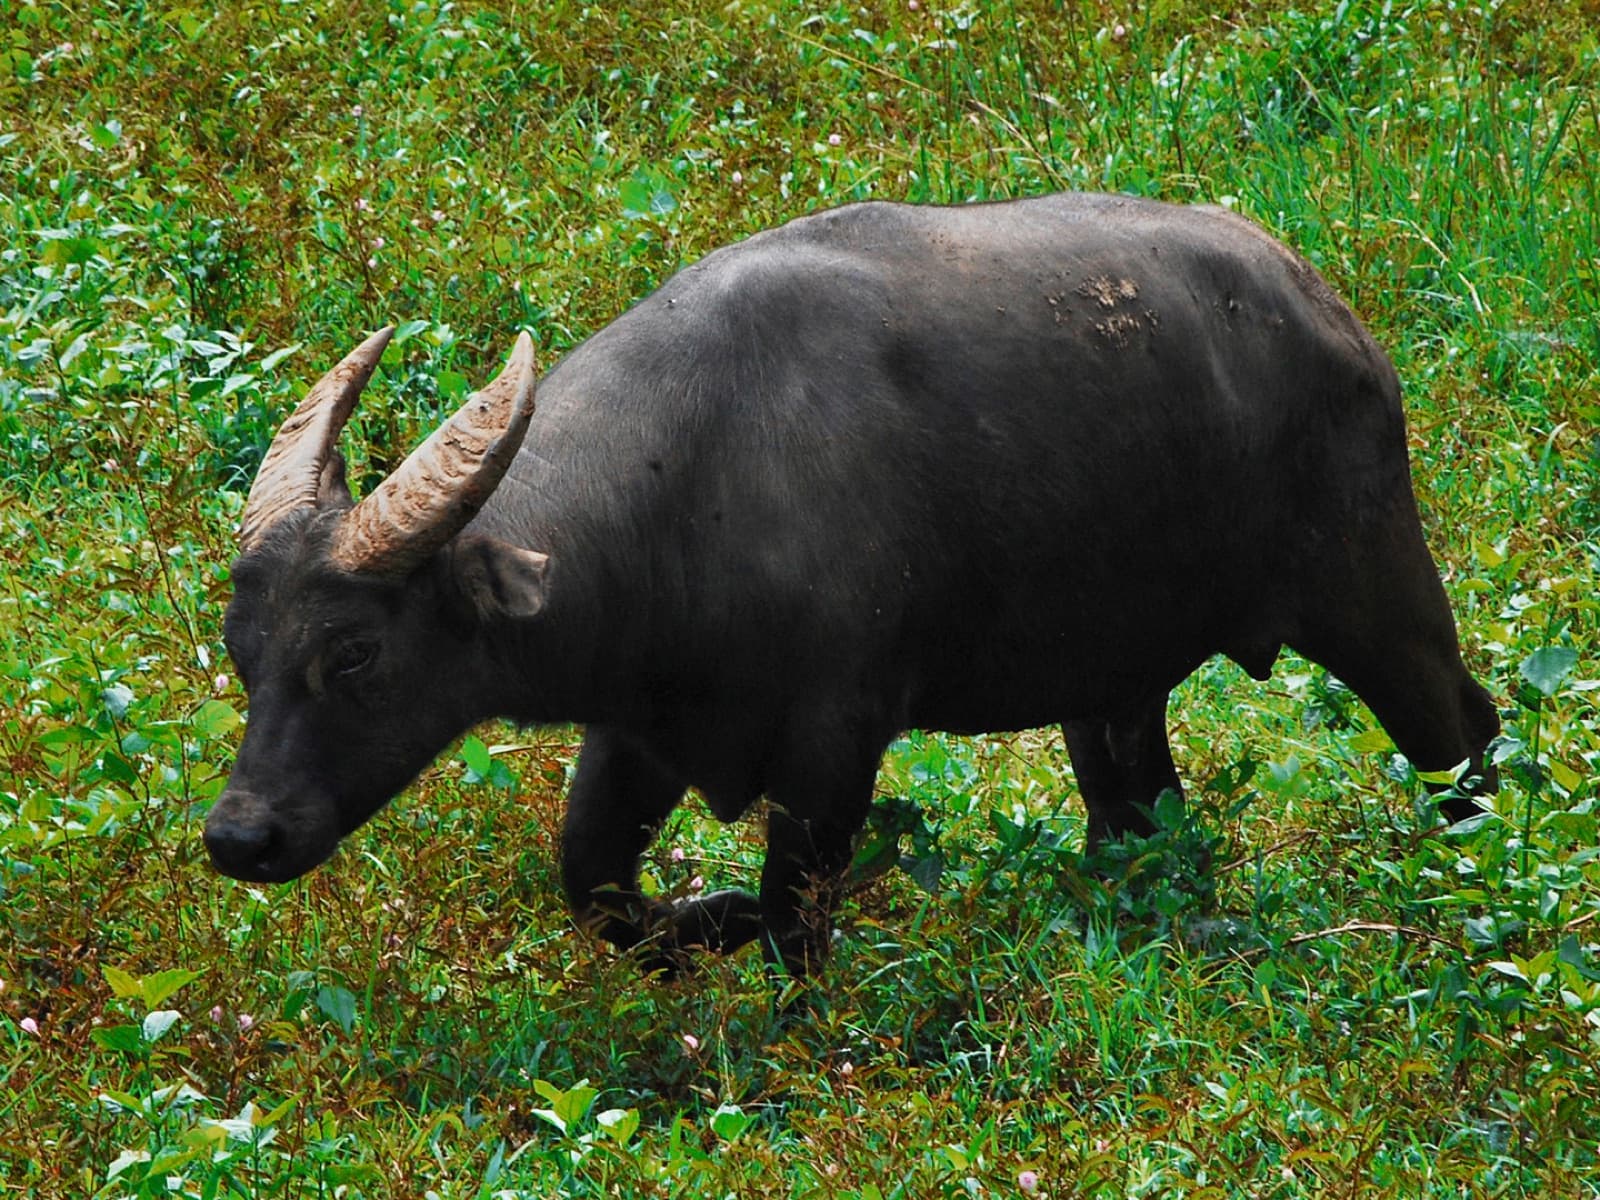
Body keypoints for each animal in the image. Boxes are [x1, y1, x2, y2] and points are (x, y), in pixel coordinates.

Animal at [205, 193, 1498, 978]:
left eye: (355, 653)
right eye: (241, 650)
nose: (239, 837)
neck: (696, 486)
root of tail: (1329, 313)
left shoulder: (835, 751)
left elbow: (791, 922)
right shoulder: (637, 734)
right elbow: (596, 888)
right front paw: (703, 917)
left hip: (1374, 590)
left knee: (1463, 729)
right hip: (1112, 686)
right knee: (1137, 810)